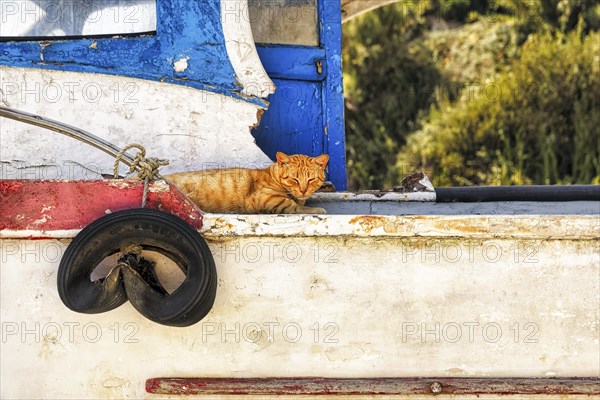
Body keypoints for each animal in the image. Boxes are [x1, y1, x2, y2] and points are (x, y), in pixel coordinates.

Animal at [164, 152, 328, 214]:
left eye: (311, 180)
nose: (303, 190)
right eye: (294, 179)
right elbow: (293, 206)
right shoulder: (265, 197)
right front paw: (315, 210)